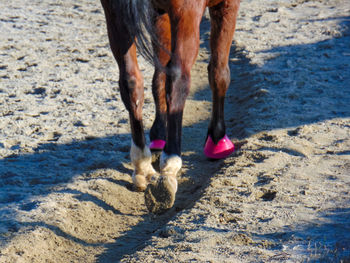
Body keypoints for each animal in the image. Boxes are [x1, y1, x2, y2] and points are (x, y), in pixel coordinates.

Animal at [100, 0, 239, 214]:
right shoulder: (227, 6)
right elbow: (219, 73)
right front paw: (217, 139)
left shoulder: (159, 13)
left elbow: (159, 75)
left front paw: (158, 134)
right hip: (187, 13)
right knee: (178, 77)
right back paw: (169, 169)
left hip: (115, 13)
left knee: (131, 80)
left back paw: (142, 164)